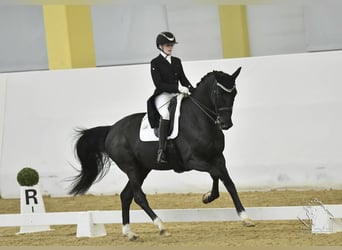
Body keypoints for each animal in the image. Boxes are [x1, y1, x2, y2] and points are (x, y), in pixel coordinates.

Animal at [69, 67, 254, 240]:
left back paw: (129, 233)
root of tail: (111, 130)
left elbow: (227, 182)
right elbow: (216, 174)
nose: (225, 124)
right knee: (138, 196)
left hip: (142, 168)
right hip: (130, 167)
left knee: (126, 195)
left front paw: (244, 217)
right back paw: (161, 227)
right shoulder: (192, 160)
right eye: (217, 92)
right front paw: (208, 197)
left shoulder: (217, 157)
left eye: (234, 93)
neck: (199, 119)